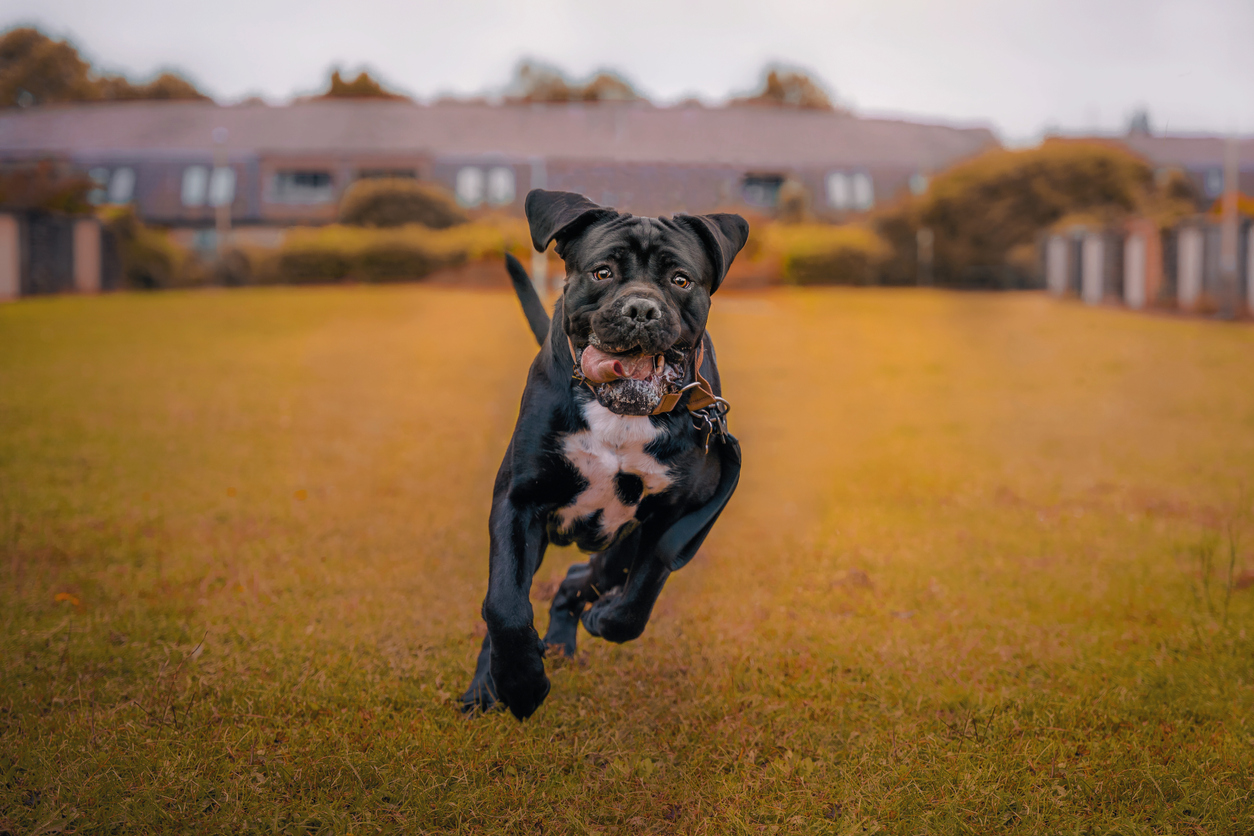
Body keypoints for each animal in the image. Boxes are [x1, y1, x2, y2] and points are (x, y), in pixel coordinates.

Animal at [466, 189, 747, 721]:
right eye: (602, 272)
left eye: (680, 280)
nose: (640, 309)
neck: (620, 412)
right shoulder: (518, 501)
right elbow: (504, 605)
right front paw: (520, 684)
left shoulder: (679, 514)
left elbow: (644, 588)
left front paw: (606, 619)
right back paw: (486, 689)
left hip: (619, 543)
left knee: (588, 574)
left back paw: (566, 635)